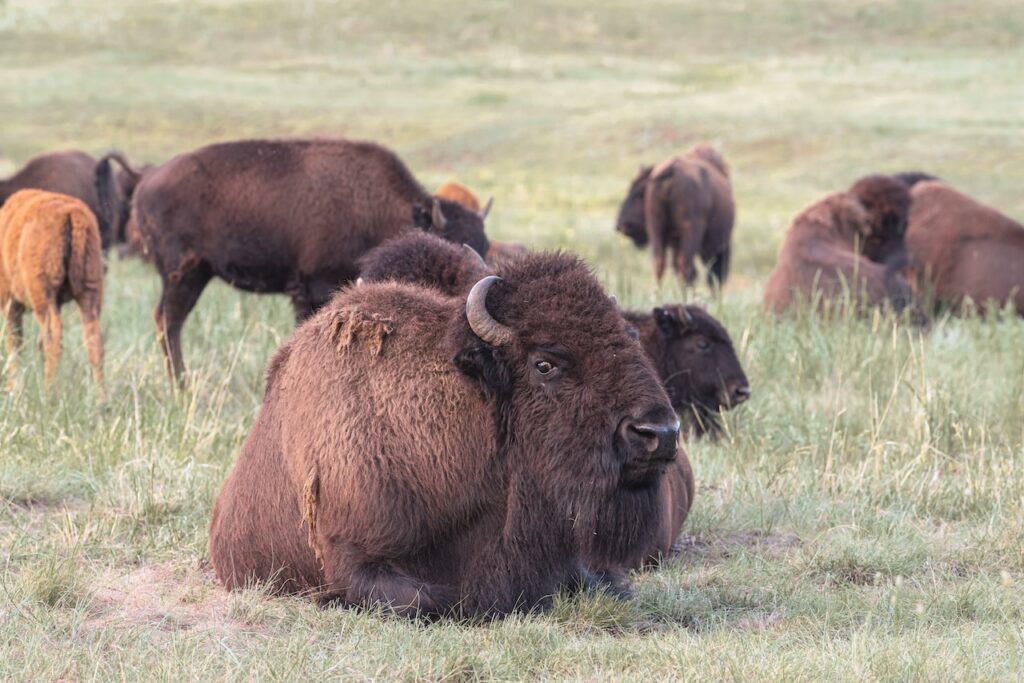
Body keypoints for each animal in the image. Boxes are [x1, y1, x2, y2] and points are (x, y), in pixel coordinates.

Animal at [0, 189, 104, 393]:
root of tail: (73, 213)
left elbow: (14, 344)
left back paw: (48, 394)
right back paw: (102, 399)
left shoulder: (9, 303)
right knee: (94, 341)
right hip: (90, 291)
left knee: (52, 340)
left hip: (44, 296)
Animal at [131, 137, 491, 385]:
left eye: (484, 244)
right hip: (184, 273)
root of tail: (146, 182)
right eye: (446, 238)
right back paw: (181, 385)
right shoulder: (315, 286)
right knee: (169, 320)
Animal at [614, 145, 737, 286]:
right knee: (687, 267)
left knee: (661, 264)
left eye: (639, 193)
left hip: (657, 229)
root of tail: (670, 171)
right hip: (691, 232)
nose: (621, 225)